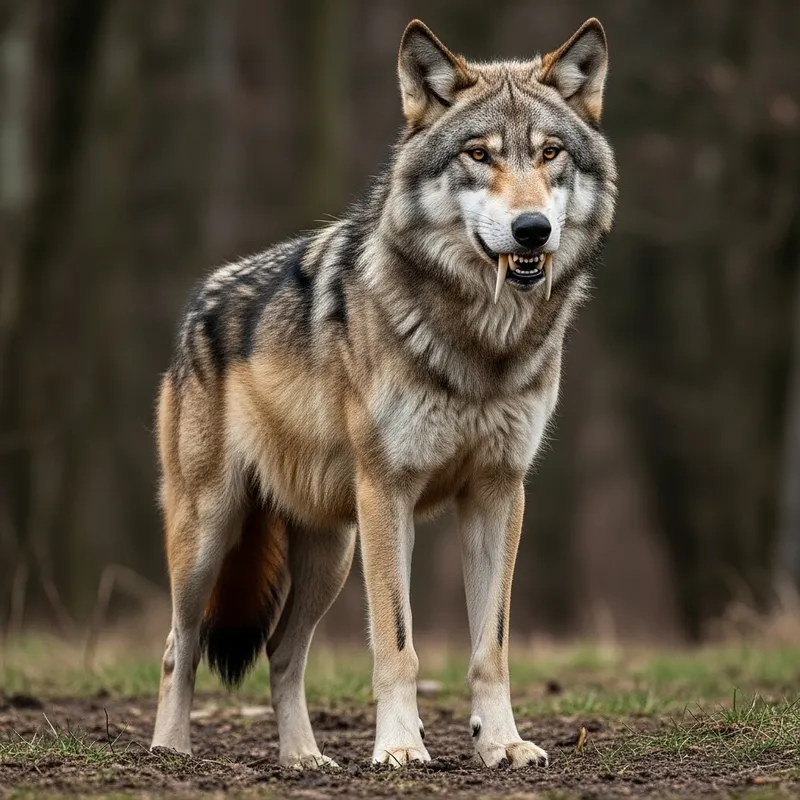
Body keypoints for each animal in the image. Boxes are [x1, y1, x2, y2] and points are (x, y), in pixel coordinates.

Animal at [150, 17, 617, 769]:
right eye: (479, 154)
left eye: (550, 153)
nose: (532, 229)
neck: (482, 341)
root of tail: (200, 300)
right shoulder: (388, 492)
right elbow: (397, 646)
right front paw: (400, 748)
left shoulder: (498, 492)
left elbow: (491, 648)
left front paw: (503, 744)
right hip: (211, 535)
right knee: (178, 645)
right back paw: (171, 753)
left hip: (331, 554)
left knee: (282, 653)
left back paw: (304, 760)